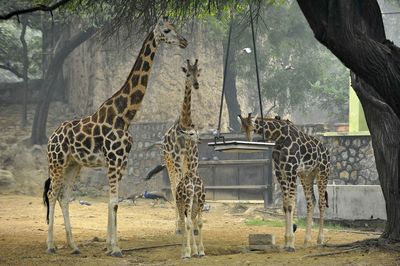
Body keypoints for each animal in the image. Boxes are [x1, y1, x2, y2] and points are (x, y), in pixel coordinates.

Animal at [42, 17, 188, 258]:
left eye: (176, 27)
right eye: (167, 30)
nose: (184, 41)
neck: (124, 115)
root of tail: (51, 137)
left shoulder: (121, 163)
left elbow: (114, 202)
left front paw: (110, 246)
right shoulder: (113, 160)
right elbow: (114, 202)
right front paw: (116, 248)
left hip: (74, 165)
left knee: (64, 196)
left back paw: (74, 246)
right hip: (57, 162)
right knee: (53, 194)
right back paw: (51, 245)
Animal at [239, 113, 330, 250]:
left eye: (253, 128)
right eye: (242, 129)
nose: (248, 141)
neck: (279, 136)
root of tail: (327, 151)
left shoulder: (291, 170)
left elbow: (291, 204)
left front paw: (291, 243)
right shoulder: (280, 173)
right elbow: (285, 205)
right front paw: (286, 242)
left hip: (323, 173)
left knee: (322, 202)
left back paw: (320, 240)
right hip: (307, 175)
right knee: (311, 201)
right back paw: (306, 241)